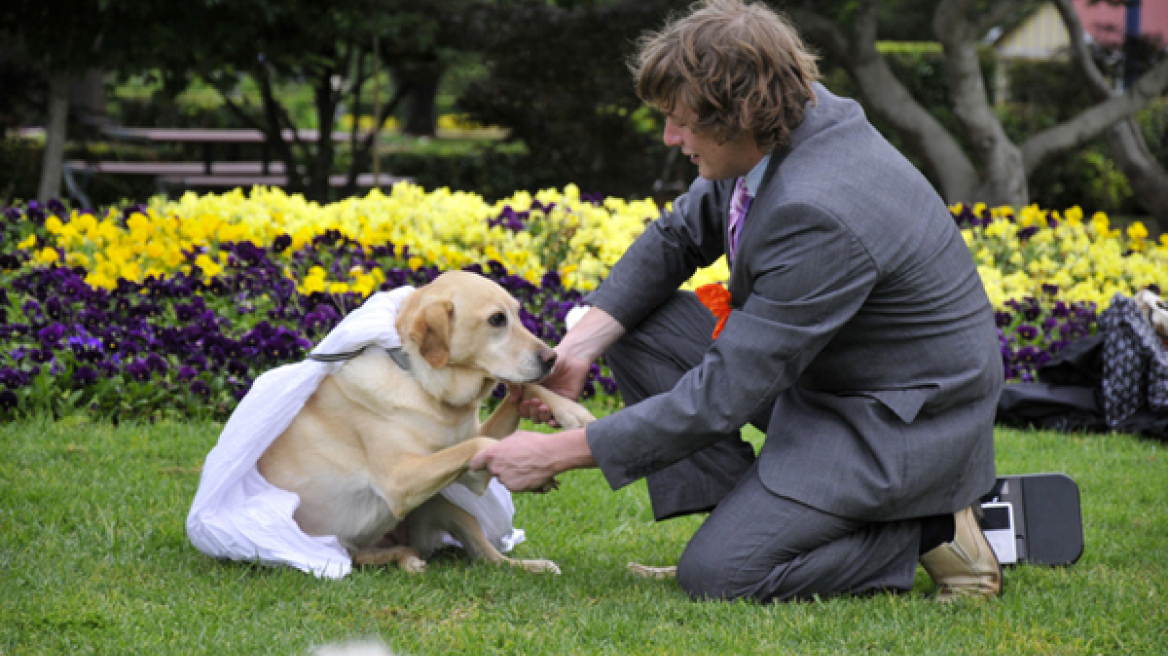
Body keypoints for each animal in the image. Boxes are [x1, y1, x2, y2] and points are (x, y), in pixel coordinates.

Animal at [255, 270, 593, 571]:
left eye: (518, 315)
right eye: (497, 319)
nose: (552, 358)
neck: (426, 385)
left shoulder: (471, 475)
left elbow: (521, 390)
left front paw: (571, 411)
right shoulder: (400, 480)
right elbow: (481, 442)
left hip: (444, 506)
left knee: (489, 558)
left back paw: (530, 565)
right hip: (356, 542)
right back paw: (409, 561)